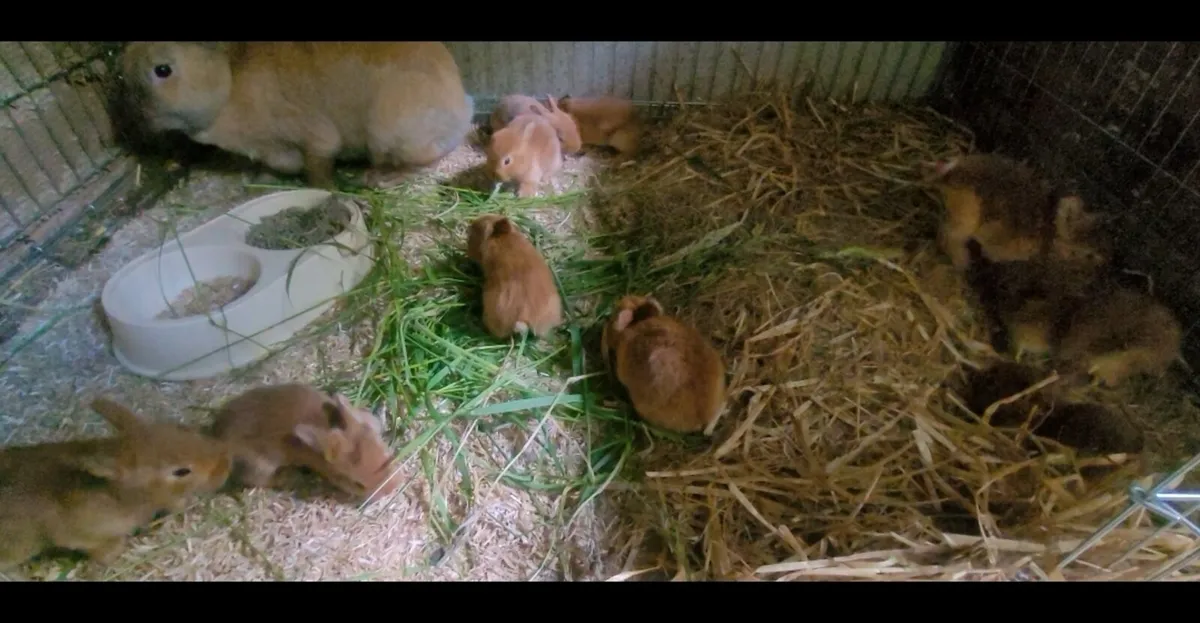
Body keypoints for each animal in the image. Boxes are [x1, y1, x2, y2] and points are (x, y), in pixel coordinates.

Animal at [119, 42, 474, 190]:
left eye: (162, 70)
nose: (140, 122)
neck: (228, 84)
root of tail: (461, 105)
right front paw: (261, 179)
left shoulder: (312, 136)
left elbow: (319, 164)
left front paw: (323, 189)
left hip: (389, 132)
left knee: (423, 162)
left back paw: (380, 179)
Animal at [209, 384, 399, 503]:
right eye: (357, 484)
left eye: (387, 457)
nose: (392, 488)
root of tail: (218, 435)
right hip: (259, 465)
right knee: (259, 480)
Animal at [927, 153, 1111, 272]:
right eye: (1089, 255)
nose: (1103, 262)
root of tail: (952, 172)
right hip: (965, 222)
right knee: (947, 236)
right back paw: (962, 262)